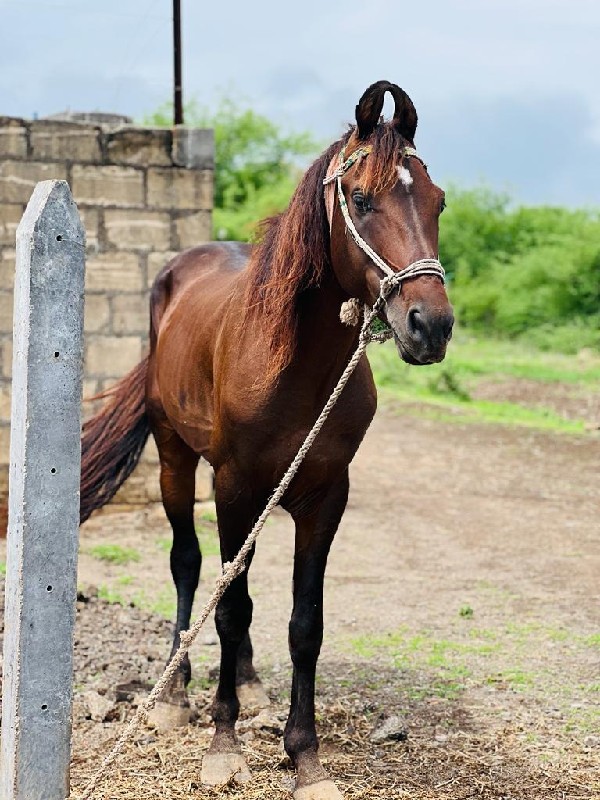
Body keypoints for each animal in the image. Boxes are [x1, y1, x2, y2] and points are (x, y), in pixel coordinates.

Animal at [81, 83, 454, 800]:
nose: (432, 325)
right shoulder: (232, 487)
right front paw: (223, 744)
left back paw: (250, 685)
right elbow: (230, 608)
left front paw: (304, 756)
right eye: (360, 199)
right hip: (176, 459)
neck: (296, 362)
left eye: (437, 200)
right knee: (191, 565)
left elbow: (303, 622)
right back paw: (177, 693)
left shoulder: (324, 497)